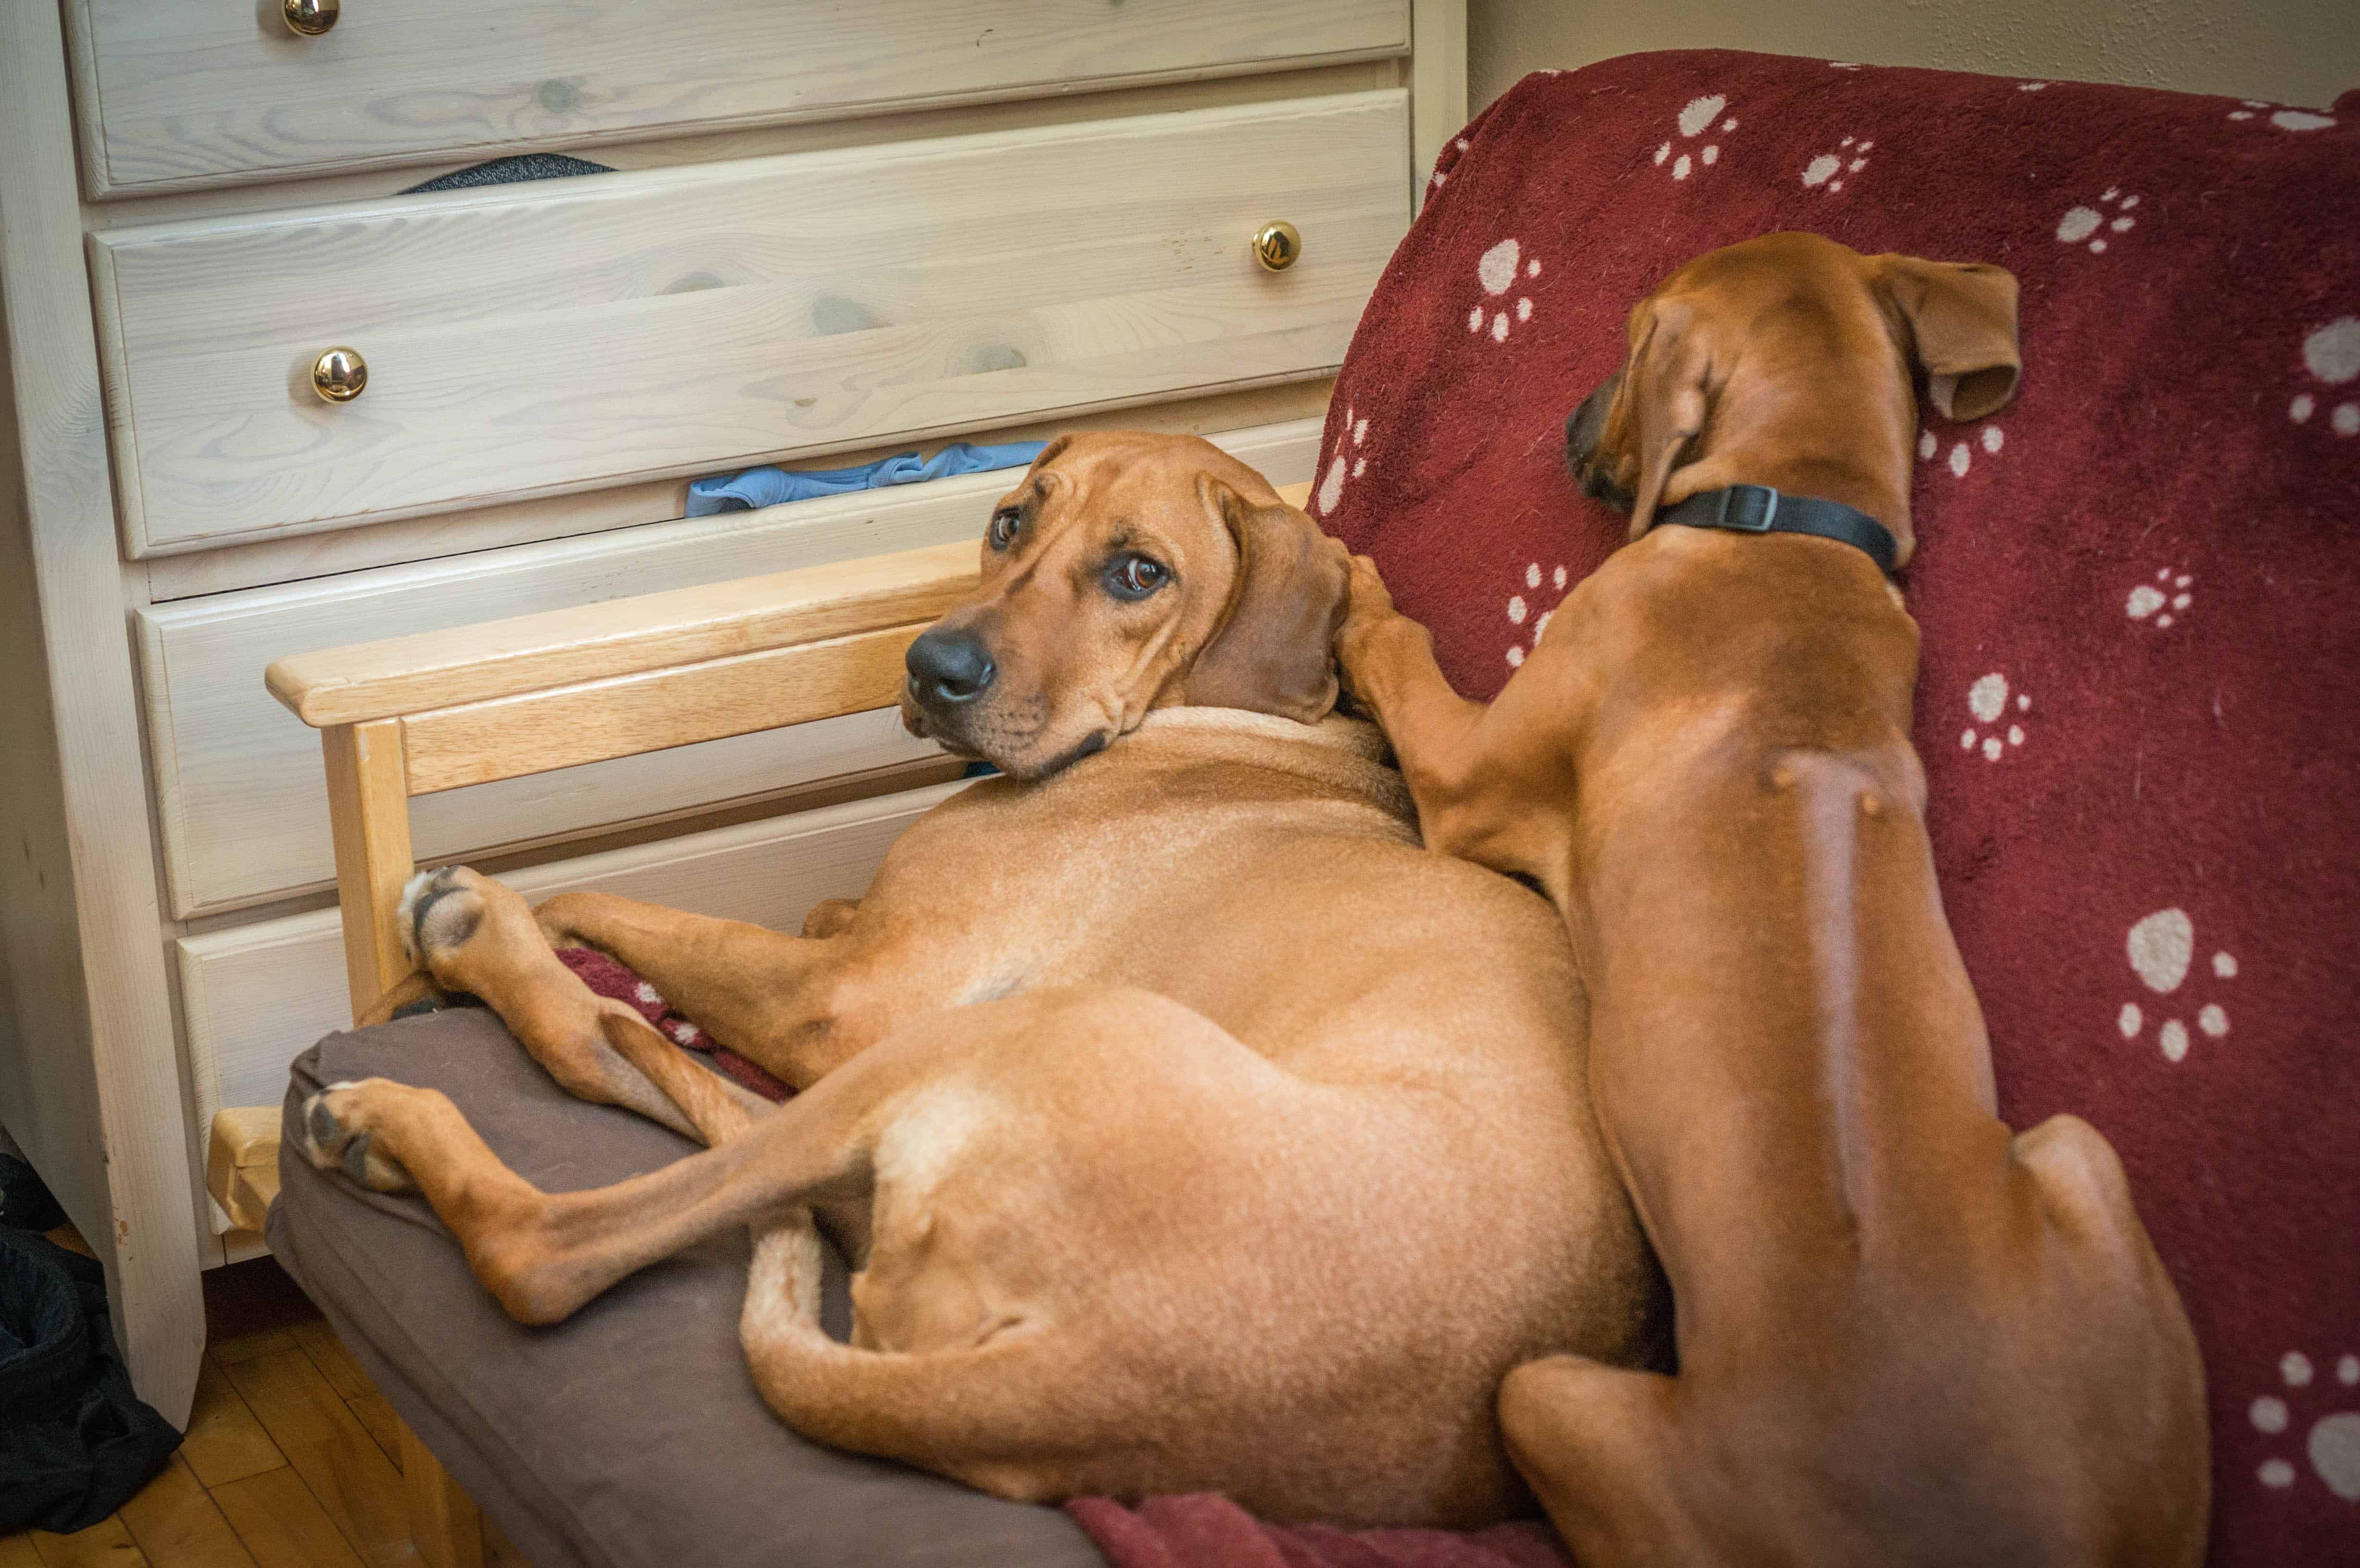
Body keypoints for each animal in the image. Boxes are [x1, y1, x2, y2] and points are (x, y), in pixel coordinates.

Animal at [1350, 236, 2209, 1568]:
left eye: (1630, 333)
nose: (1565, 420)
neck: (1785, 527)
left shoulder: (1462, 776)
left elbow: (1396, 649)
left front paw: (1347, 579)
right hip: (2083, 1160)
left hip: (1545, 1395)